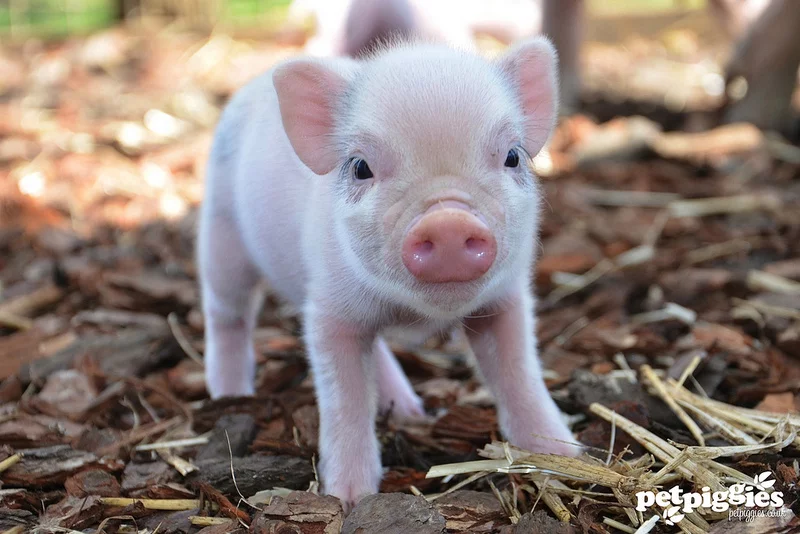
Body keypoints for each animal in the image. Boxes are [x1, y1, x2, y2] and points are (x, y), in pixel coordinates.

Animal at [197, 37, 580, 508]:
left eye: (512, 156)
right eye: (361, 166)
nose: (448, 222)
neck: (414, 315)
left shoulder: (505, 299)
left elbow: (518, 371)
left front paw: (563, 454)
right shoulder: (328, 311)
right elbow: (344, 397)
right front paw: (349, 498)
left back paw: (411, 411)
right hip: (221, 233)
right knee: (227, 313)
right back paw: (230, 394)